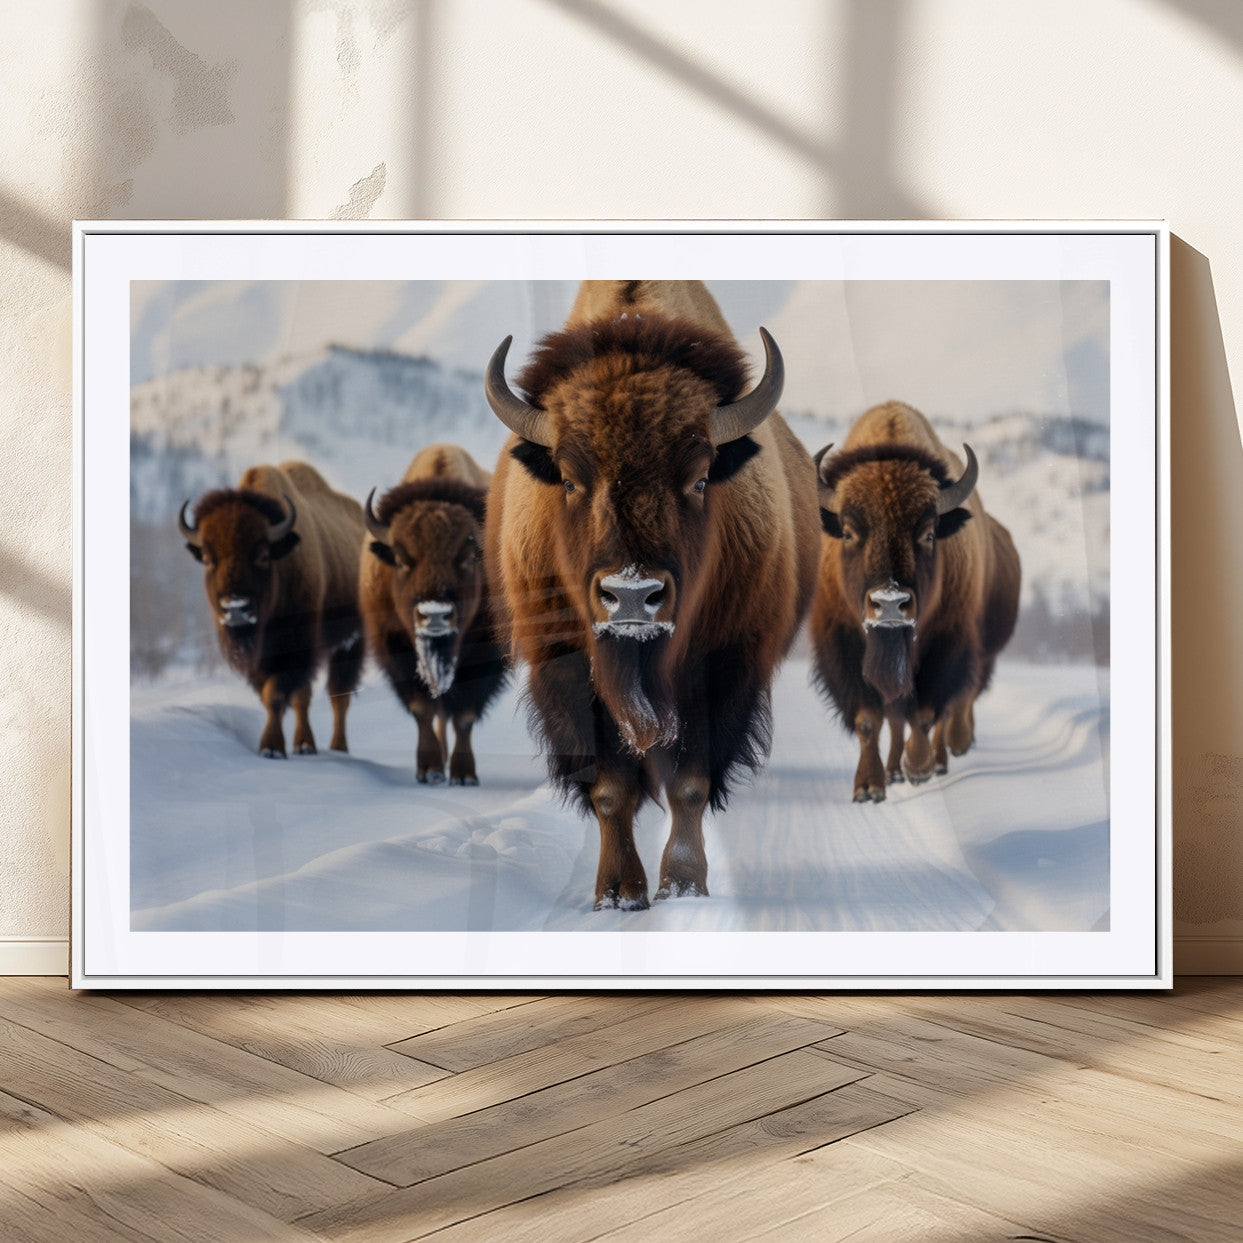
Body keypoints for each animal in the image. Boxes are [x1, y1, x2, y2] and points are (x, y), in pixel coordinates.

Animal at [179, 461, 366, 757]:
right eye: (208, 558)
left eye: (263, 555)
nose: (235, 609)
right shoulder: (260, 659)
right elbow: (276, 695)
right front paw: (279, 746)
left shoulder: (295, 648)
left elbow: (276, 694)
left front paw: (271, 748)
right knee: (310, 696)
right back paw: (306, 744)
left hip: (350, 643)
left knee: (339, 696)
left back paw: (337, 748)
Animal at [360, 444, 507, 784]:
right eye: (401, 560)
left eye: (469, 558)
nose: (435, 615)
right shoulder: (398, 652)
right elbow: (422, 710)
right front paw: (430, 770)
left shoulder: (484, 658)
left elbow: (464, 716)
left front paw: (464, 775)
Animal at [484, 280, 821, 909]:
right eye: (570, 479)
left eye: (699, 477)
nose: (633, 596)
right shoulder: (568, 673)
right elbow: (610, 790)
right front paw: (618, 893)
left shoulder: (723, 670)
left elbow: (690, 783)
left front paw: (683, 884)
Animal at [809, 402, 1021, 801]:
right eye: (849, 531)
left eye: (927, 533)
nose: (890, 603)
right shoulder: (843, 643)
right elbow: (869, 719)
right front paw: (869, 786)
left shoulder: (946, 642)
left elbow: (925, 713)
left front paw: (919, 767)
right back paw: (894, 771)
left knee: (941, 712)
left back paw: (934, 761)